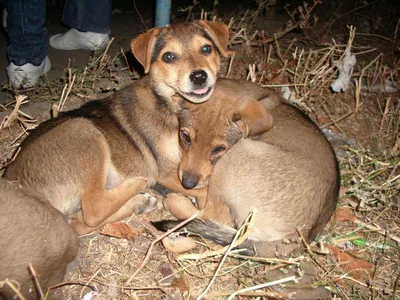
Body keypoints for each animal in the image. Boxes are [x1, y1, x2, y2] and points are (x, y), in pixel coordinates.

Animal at [3, 21, 231, 237]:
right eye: (168, 56)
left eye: (206, 49)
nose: (199, 76)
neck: (168, 104)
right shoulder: (167, 173)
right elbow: (207, 190)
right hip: (83, 130)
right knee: (94, 208)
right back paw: (137, 185)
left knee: (81, 222)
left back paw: (140, 203)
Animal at [152, 78, 340, 256]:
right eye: (185, 137)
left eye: (219, 149)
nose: (187, 184)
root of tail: (298, 239)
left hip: (235, 154)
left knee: (212, 215)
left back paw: (175, 200)